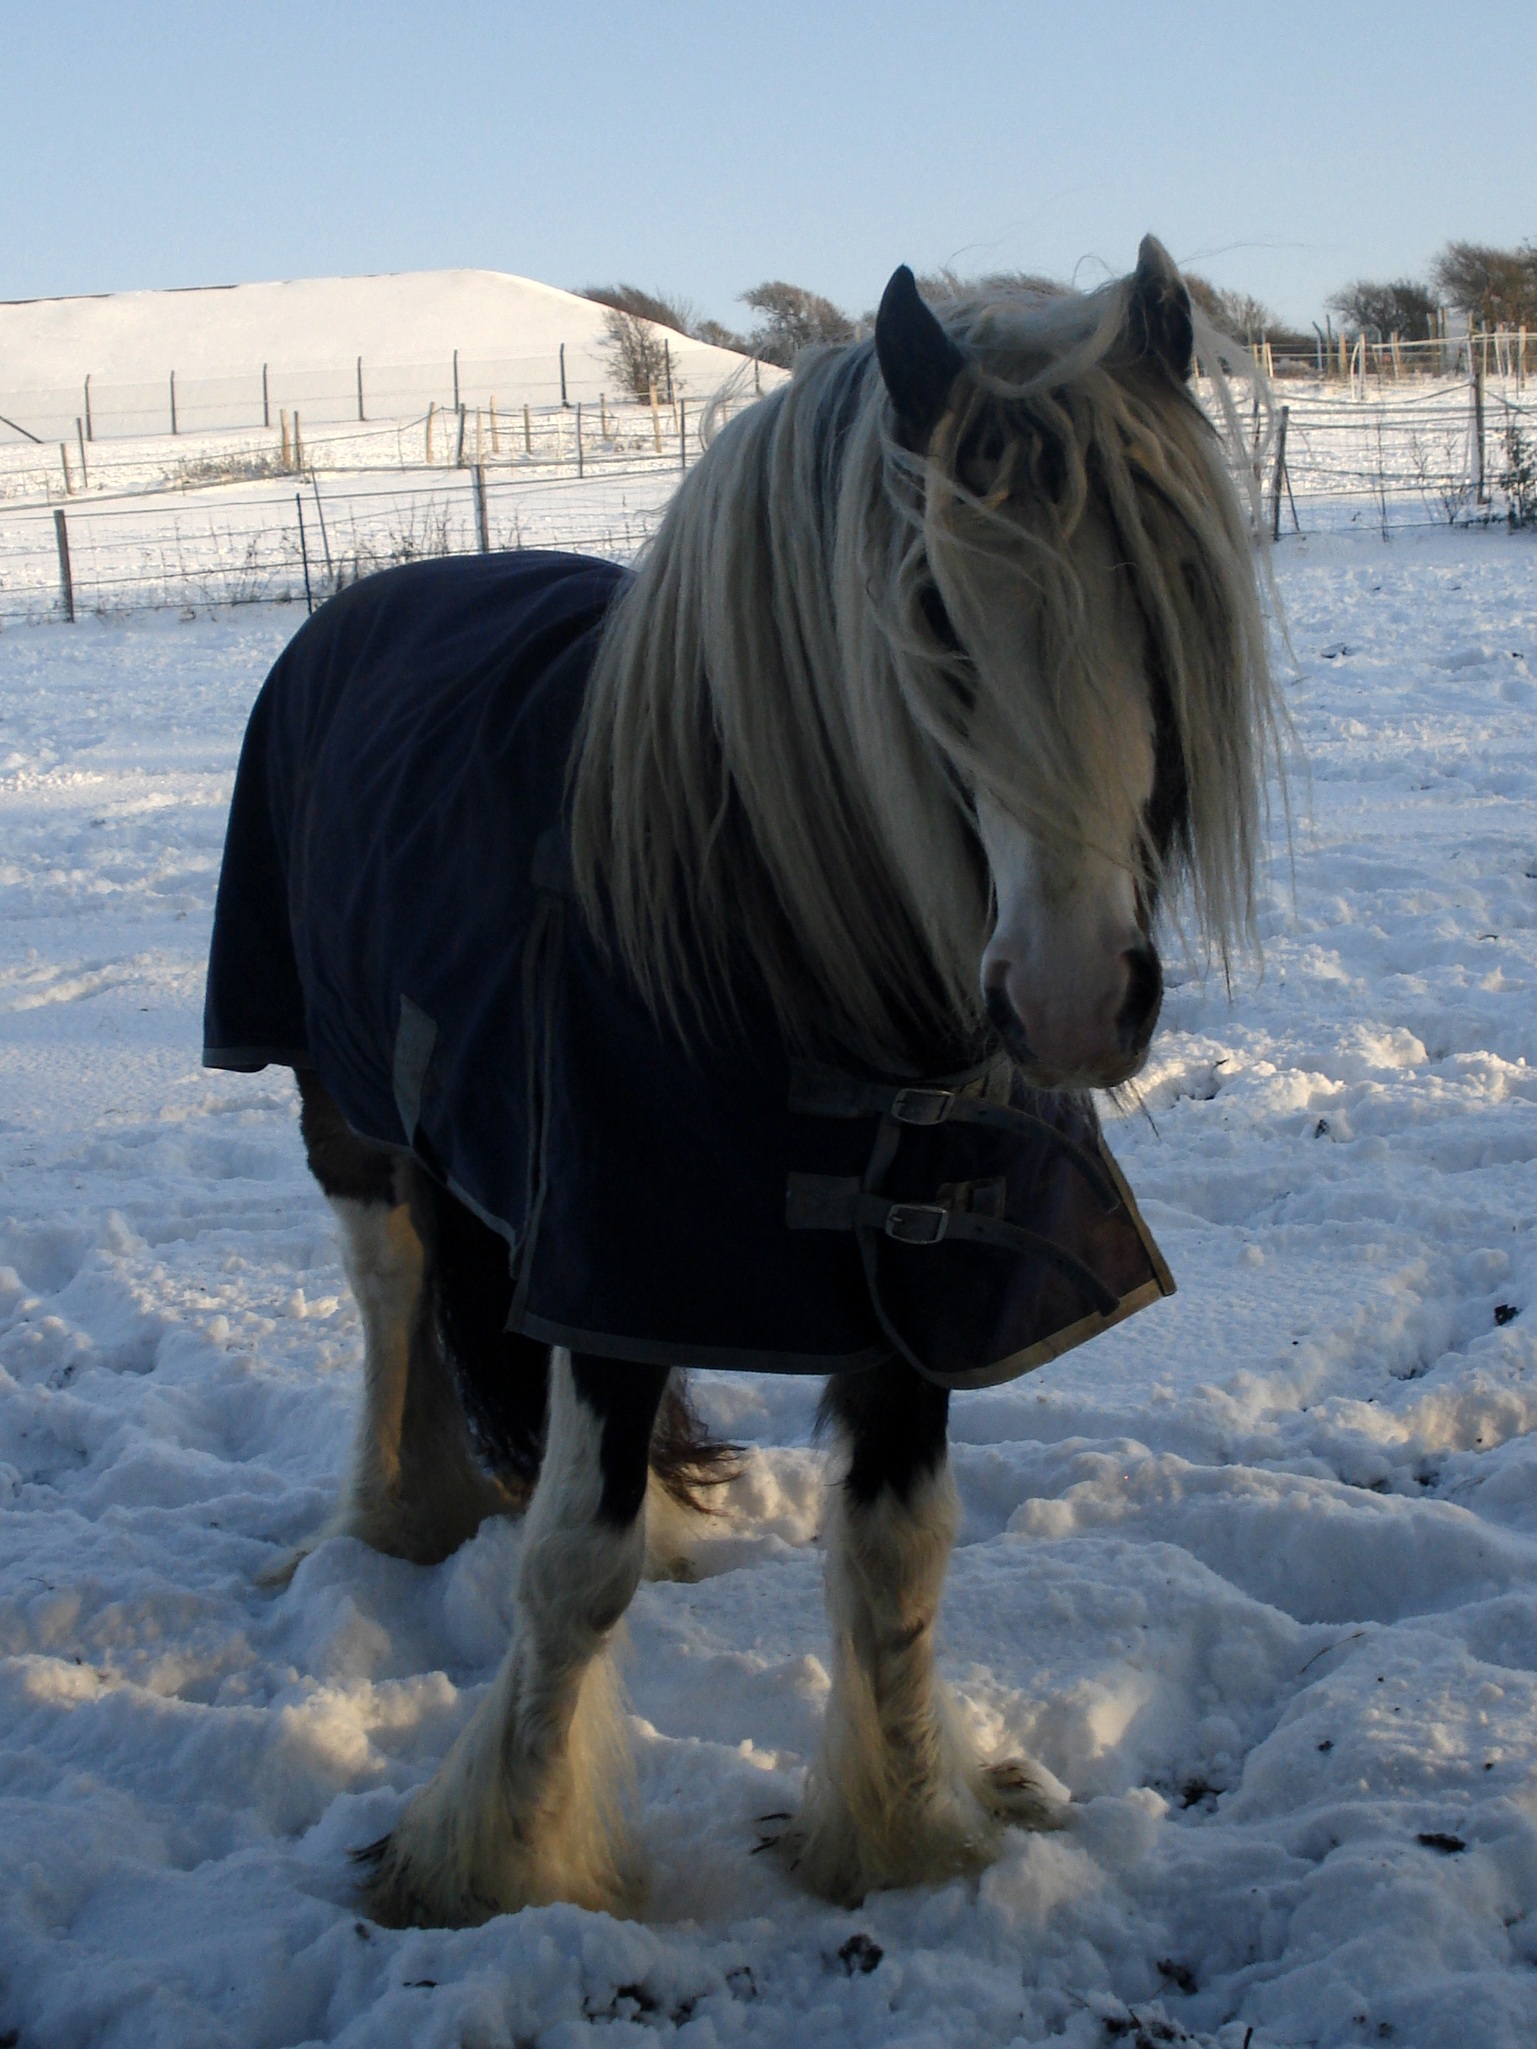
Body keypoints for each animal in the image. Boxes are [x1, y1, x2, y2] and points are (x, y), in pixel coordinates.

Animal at [203, 237, 1275, 1926]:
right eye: (931, 607)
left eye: (1168, 589)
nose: (1067, 998)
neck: (787, 945)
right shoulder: (618, 1266)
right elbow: (575, 1568)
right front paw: (495, 1867)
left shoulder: (917, 1286)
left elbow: (897, 1558)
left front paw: (903, 1837)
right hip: (344, 1104)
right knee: (389, 1289)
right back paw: (384, 1522)